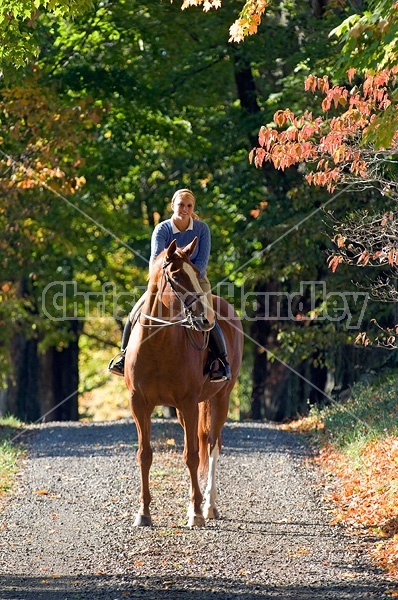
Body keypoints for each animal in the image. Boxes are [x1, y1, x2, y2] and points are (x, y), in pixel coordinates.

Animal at [125, 237, 243, 528]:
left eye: (196, 273)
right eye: (177, 276)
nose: (206, 320)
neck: (158, 345)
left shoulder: (189, 404)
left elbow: (191, 456)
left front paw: (197, 513)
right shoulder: (139, 404)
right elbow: (145, 455)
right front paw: (143, 512)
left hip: (221, 397)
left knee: (212, 446)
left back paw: (209, 506)